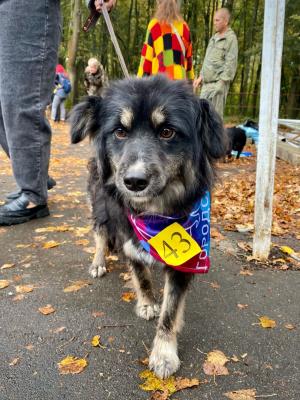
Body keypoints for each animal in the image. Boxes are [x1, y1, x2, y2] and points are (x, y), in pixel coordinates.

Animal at [69, 75, 225, 378]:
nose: (134, 181)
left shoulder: (186, 258)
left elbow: (170, 311)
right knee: (100, 236)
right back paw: (98, 262)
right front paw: (147, 303)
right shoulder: (128, 235)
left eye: (167, 132)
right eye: (120, 132)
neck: (155, 215)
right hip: (100, 207)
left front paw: (164, 352)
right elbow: (140, 275)